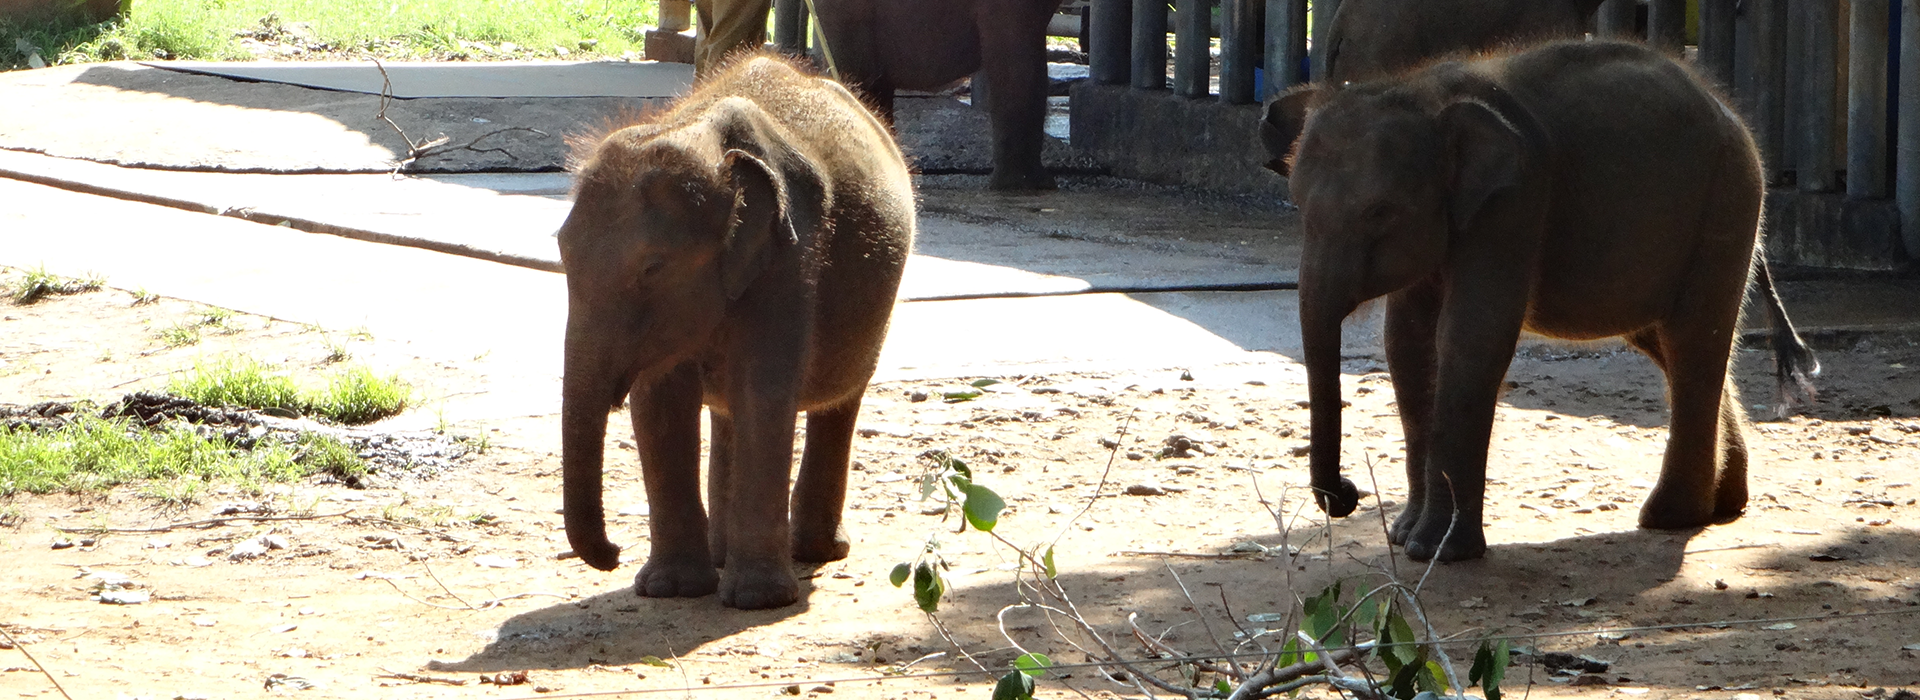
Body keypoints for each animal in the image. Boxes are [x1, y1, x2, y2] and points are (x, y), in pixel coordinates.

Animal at [559, 54, 915, 609]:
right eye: (560, 253)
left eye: (652, 269)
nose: (613, 553)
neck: (697, 134)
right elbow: (659, 403)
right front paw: (672, 590)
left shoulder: (790, 261)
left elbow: (763, 394)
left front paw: (757, 600)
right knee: (727, 411)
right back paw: (721, 554)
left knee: (840, 401)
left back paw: (814, 551)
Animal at [1259, 40, 1820, 563]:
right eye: (1297, 203)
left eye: (1380, 212)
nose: (1348, 494)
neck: (1424, 91)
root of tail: (1727, 109)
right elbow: (1407, 344)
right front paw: (1404, 538)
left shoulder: (1515, 202)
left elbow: (1471, 336)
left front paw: (1438, 551)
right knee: (1668, 344)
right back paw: (1721, 505)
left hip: (1727, 203)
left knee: (1692, 342)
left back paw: (1670, 517)